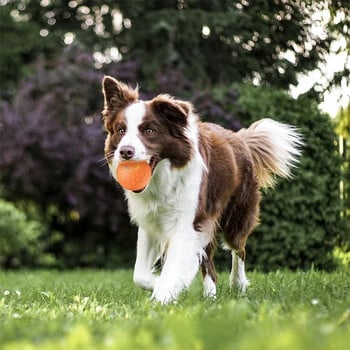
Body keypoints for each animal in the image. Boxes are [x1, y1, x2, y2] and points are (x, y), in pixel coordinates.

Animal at [102, 76, 304, 304]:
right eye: (121, 130)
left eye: (149, 131)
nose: (125, 152)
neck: (163, 178)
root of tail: (241, 139)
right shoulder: (151, 222)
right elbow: (140, 275)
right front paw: (163, 285)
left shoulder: (188, 222)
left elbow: (173, 266)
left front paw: (163, 295)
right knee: (209, 262)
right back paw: (210, 295)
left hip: (236, 215)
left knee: (239, 249)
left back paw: (238, 284)